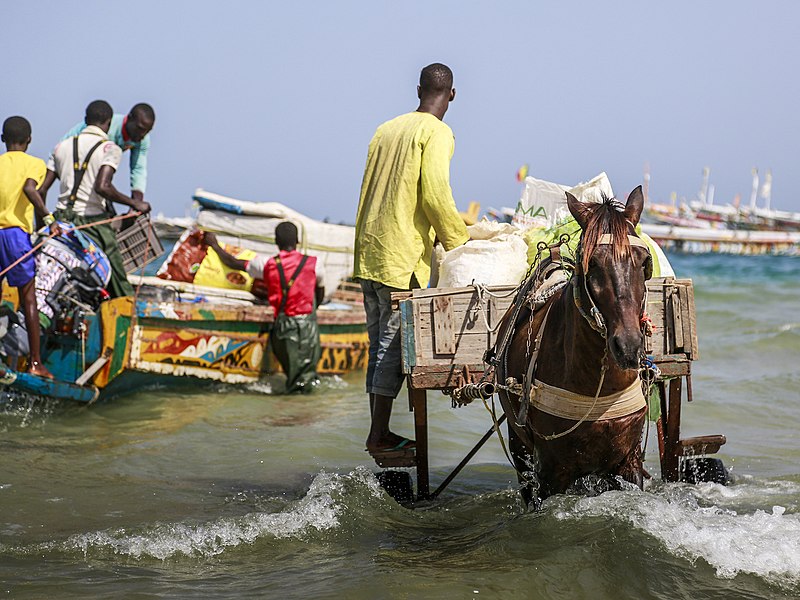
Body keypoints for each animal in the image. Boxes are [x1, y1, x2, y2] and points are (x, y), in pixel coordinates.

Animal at [496, 185, 652, 504]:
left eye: (644, 262)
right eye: (591, 263)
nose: (628, 346)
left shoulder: (628, 461)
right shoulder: (550, 471)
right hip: (518, 441)